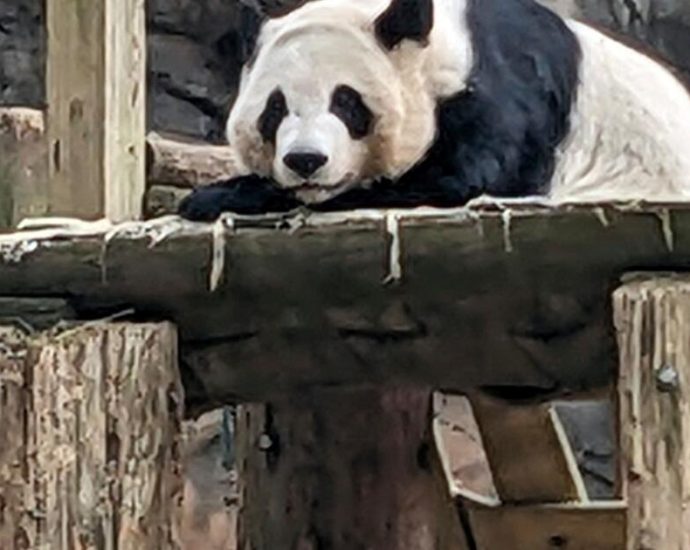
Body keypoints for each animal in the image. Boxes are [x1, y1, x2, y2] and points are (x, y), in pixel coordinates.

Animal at [178, 0, 690, 221]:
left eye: (346, 102)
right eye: (275, 108)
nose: (306, 161)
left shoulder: (504, 91)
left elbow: (458, 180)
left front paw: (217, 196)